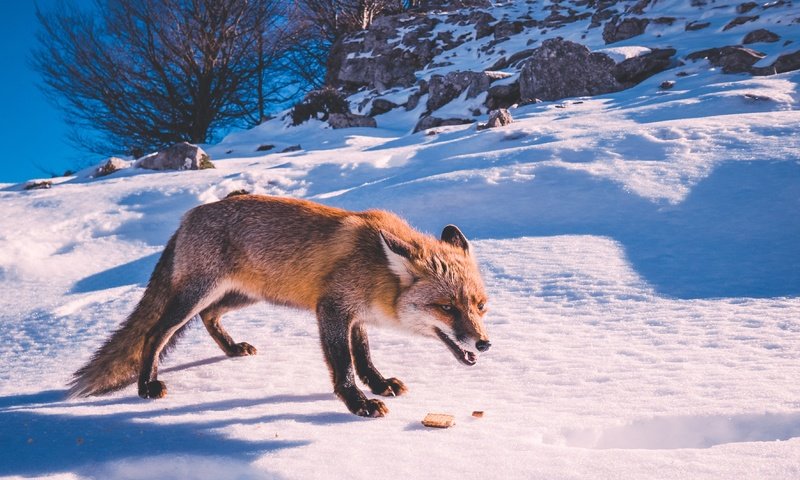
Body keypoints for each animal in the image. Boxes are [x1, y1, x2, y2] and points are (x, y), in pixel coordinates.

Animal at [69, 195, 490, 416]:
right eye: (446, 308)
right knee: (155, 333)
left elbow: (364, 356)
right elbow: (344, 365)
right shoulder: (332, 309)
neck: (376, 268)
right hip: (197, 294)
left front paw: (379, 383)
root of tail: (188, 216)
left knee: (209, 316)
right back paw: (146, 384)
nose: (484, 344)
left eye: (480, 306)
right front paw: (357, 403)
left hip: (242, 295)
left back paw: (232, 349)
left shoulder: (355, 314)